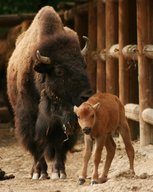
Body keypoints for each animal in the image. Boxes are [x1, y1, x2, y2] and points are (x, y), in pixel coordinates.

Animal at [6, 6, 92, 180]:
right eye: (59, 71)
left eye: (84, 65)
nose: (86, 95)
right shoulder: (29, 118)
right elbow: (36, 145)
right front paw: (39, 173)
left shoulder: (61, 123)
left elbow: (58, 144)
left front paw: (59, 172)